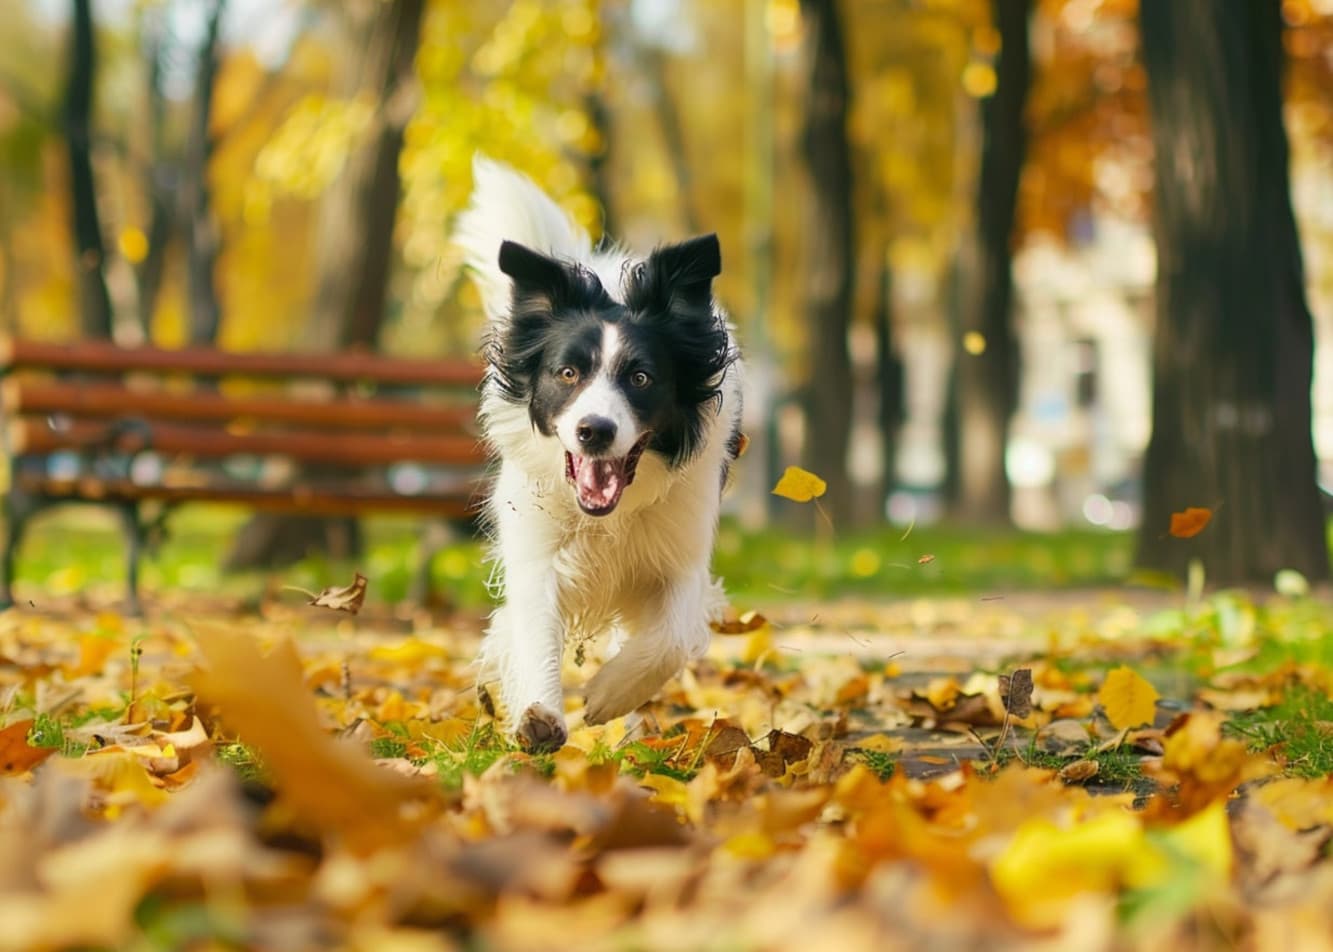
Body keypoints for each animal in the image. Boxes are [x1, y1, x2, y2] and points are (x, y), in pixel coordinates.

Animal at [455, 157, 746, 746]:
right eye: (568, 373)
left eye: (641, 378)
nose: (595, 431)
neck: (608, 516)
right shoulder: (535, 550)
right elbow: (533, 625)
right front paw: (539, 712)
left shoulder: (681, 551)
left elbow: (671, 637)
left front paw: (609, 694)